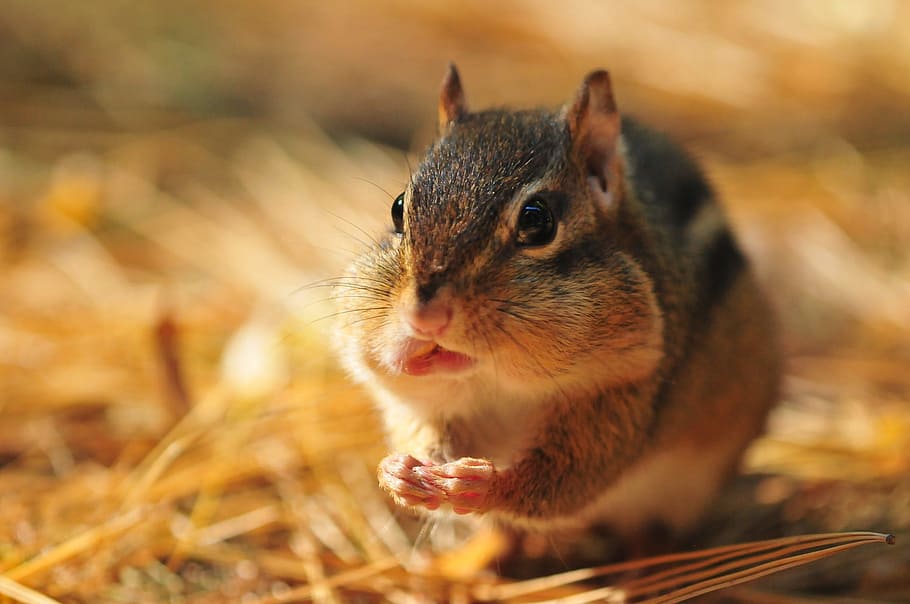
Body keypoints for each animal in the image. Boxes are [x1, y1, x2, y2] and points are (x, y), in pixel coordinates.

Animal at [334, 64, 781, 539]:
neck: (499, 387)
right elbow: (420, 431)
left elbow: (564, 479)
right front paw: (398, 473)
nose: (425, 318)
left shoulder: (623, 401)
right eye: (399, 208)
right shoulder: (424, 403)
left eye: (537, 221)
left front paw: (483, 484)